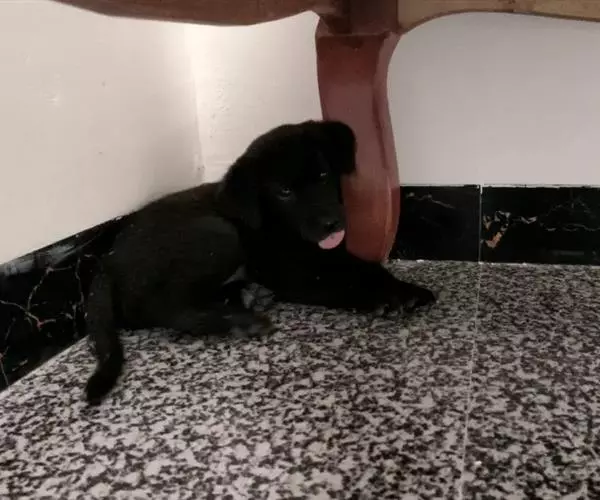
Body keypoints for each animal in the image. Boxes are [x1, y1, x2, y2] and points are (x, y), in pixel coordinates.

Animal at [84, 120, 435, 405]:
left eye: (323, 175)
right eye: (284, 192)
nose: (331, 224)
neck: (279, 225)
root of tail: (107, 262)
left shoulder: (331, 254)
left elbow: (366, 267)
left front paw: (403, 288)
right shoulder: (297, 274)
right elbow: (344, 282)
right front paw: (386, 298)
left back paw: (245, 296)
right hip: (219, 234)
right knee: (165, 307)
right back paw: (241, 321)